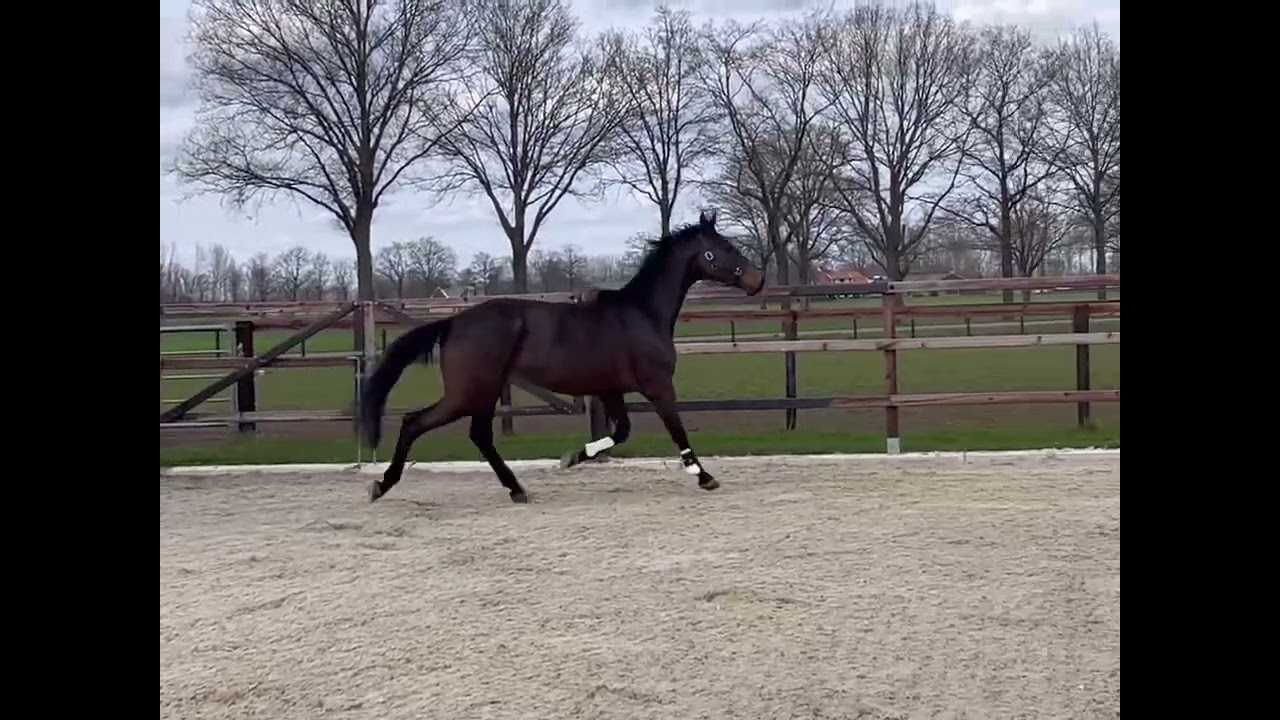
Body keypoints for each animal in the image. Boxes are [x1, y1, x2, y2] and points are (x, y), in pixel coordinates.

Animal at [358, 210, 766, 505]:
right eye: (725, 247)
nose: (757, 280)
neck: (643, 313)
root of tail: (453, 322)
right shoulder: (658, 386)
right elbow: (676, 429)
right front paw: (705, 477)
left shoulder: (611, 390)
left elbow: (620, 433)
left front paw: (570, 458)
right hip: (469, 392)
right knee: (415, 422)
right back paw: (383, 484)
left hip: (485, 392)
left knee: (479, 435)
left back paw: (516, 489)